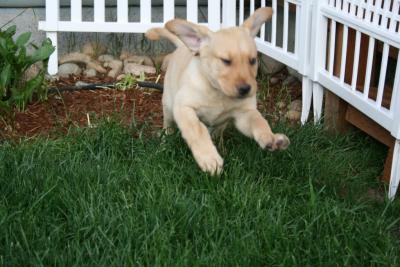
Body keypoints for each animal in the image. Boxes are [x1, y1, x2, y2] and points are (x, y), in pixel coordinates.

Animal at [145, 7, 290, 175]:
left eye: (253, 60)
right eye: (226, 61)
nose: (246, 89)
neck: (218, 93)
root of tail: (182, 47)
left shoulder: (244, 114)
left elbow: (258, 121)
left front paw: (270, 138)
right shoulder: (183, 107)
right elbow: (197, 131)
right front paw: (209, 159)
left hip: (221, 122)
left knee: (217, 130)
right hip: (169, 105)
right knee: (167, 125)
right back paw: (165, 143)